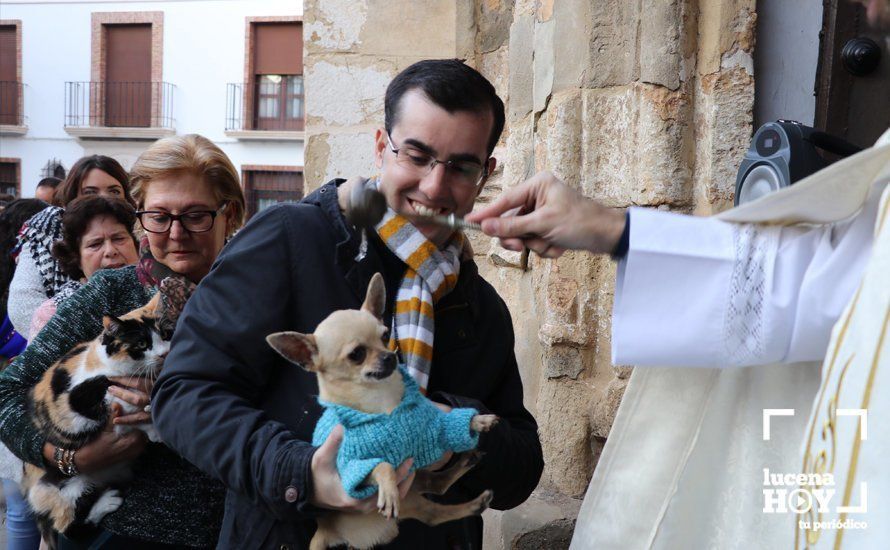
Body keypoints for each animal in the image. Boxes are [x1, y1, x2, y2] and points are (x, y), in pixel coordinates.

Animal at [21, 296, 168, 544]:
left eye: (165, 333)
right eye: (141, 343)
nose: (164, 353)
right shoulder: (76, 402)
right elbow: (119, 403)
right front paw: (153, 428)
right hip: (65, 488)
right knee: (70, 529)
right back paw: (108, 501)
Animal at [264, 274, 500, 548]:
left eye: (386, 334)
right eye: (357, 354)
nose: (390, 356)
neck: (381, 399)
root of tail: (325, 530)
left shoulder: (430, 427)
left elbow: (448, 422)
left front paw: (478, 420)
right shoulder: (350, 470)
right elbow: (382, 466)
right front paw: (388, 490)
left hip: (415, 478)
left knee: (436, 489)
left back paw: (472, 486)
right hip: (403, 497)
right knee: (432, 508)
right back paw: (472, 502)